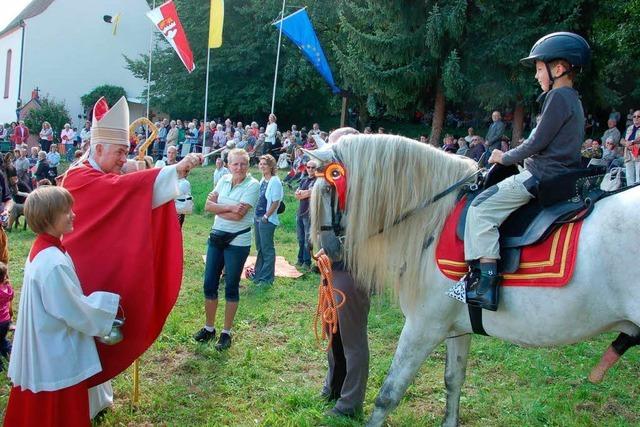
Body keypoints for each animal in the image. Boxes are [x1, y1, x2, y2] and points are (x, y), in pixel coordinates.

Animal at [308, 135, 636, 427]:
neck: (434, 221)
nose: (327, 251)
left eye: (327, 187)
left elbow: (389, 393)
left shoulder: (423, 327)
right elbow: (453, 380)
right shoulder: (457, 326)